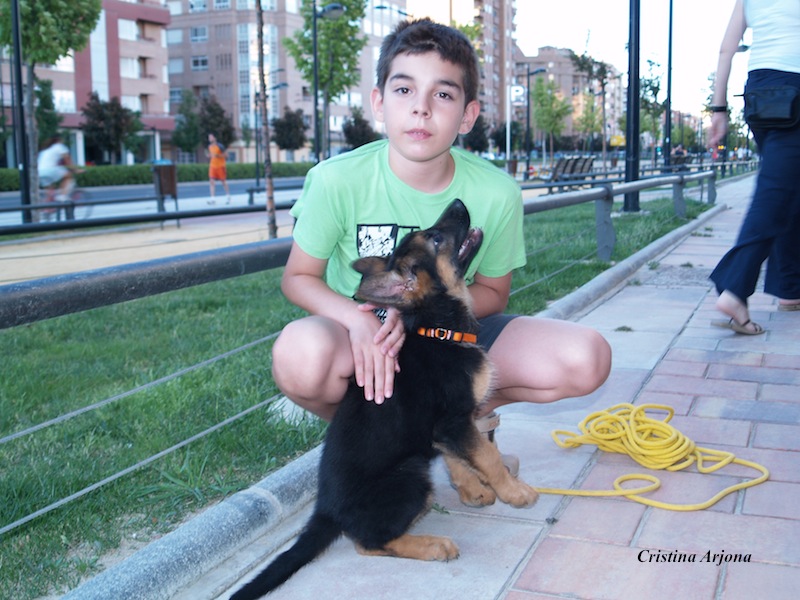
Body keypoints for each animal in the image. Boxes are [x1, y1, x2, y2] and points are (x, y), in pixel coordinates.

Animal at [231, 200, 536, 600]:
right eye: (435, 238)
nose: (458, 204)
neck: (438, 328)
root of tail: (326, 512)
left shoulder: (447, 425)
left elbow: (459, 458)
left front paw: (473, 490)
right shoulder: (454, 421)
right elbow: (487, 456)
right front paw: (515, 492)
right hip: (411, 476)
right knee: (368, 542)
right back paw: (432, 544)